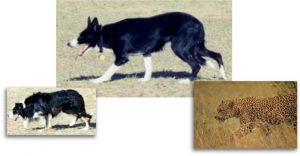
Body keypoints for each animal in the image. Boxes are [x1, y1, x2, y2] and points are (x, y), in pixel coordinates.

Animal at [68, 11, 226, 83]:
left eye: (81, 36)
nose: (68, 43)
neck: (105, 34)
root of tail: (198, 22)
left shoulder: (121, 58)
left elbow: (108, 71)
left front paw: (97, 80)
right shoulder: (146, 53)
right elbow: (148, 69)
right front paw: (145, 80)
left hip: (180, 48)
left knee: (196, 65)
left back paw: (187, 81)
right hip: (196, 48)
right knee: (217, 55)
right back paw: (223, 76)